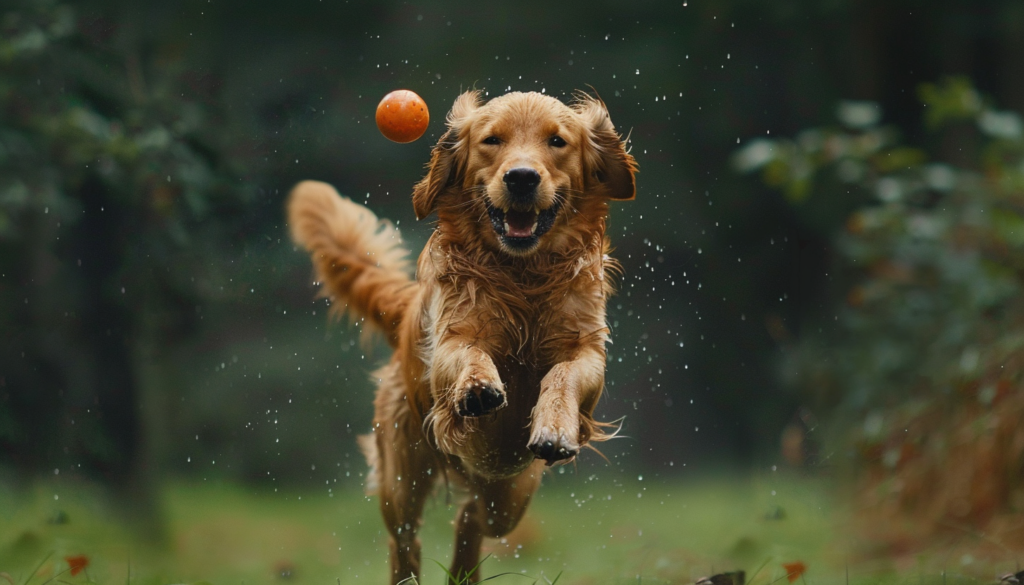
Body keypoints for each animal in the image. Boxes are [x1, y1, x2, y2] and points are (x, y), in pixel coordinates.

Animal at [288, 89, 634, 581]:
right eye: (492, 140)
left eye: (557, 141)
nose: (522, 178)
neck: (523, 276)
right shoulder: (453, 336)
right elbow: (468, 354)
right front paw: (478, 385)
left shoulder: (586, 350)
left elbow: (562, 377)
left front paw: (554, 428)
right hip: (403, 477)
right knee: (405, 541)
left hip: (509, 493)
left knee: (473, 518)